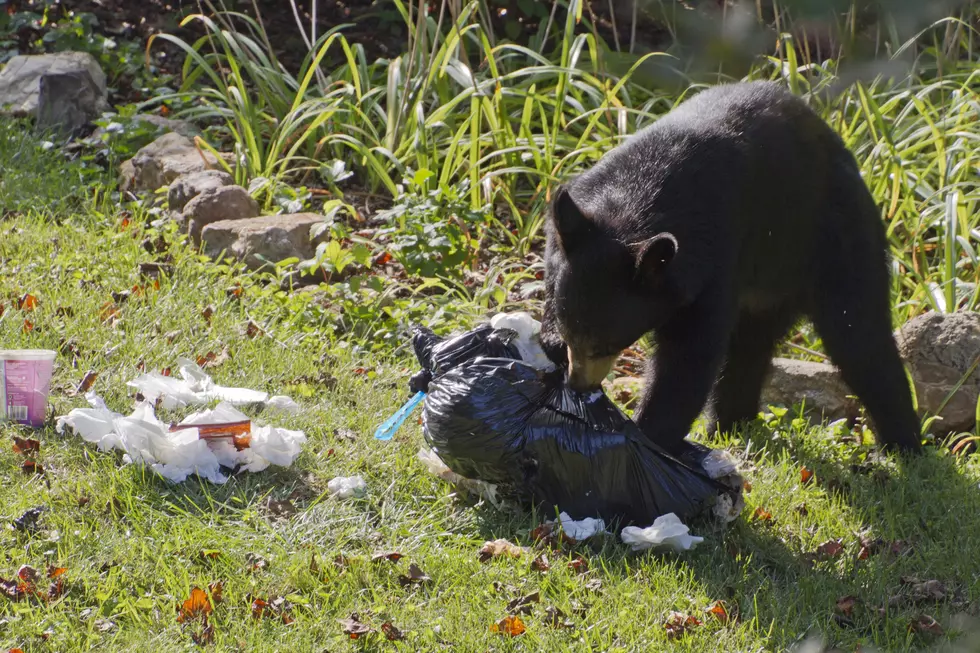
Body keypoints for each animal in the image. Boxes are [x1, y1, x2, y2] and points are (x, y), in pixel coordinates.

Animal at [540, 80, 922, 455]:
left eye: (604, 346)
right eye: (571, 335)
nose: (578, 384)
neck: (632, 204)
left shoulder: (713, 259)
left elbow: (689, 355)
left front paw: (649, 434)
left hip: (834, 236)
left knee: (859, 335)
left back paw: (903, 444)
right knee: (749, 347)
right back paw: (731, 423)